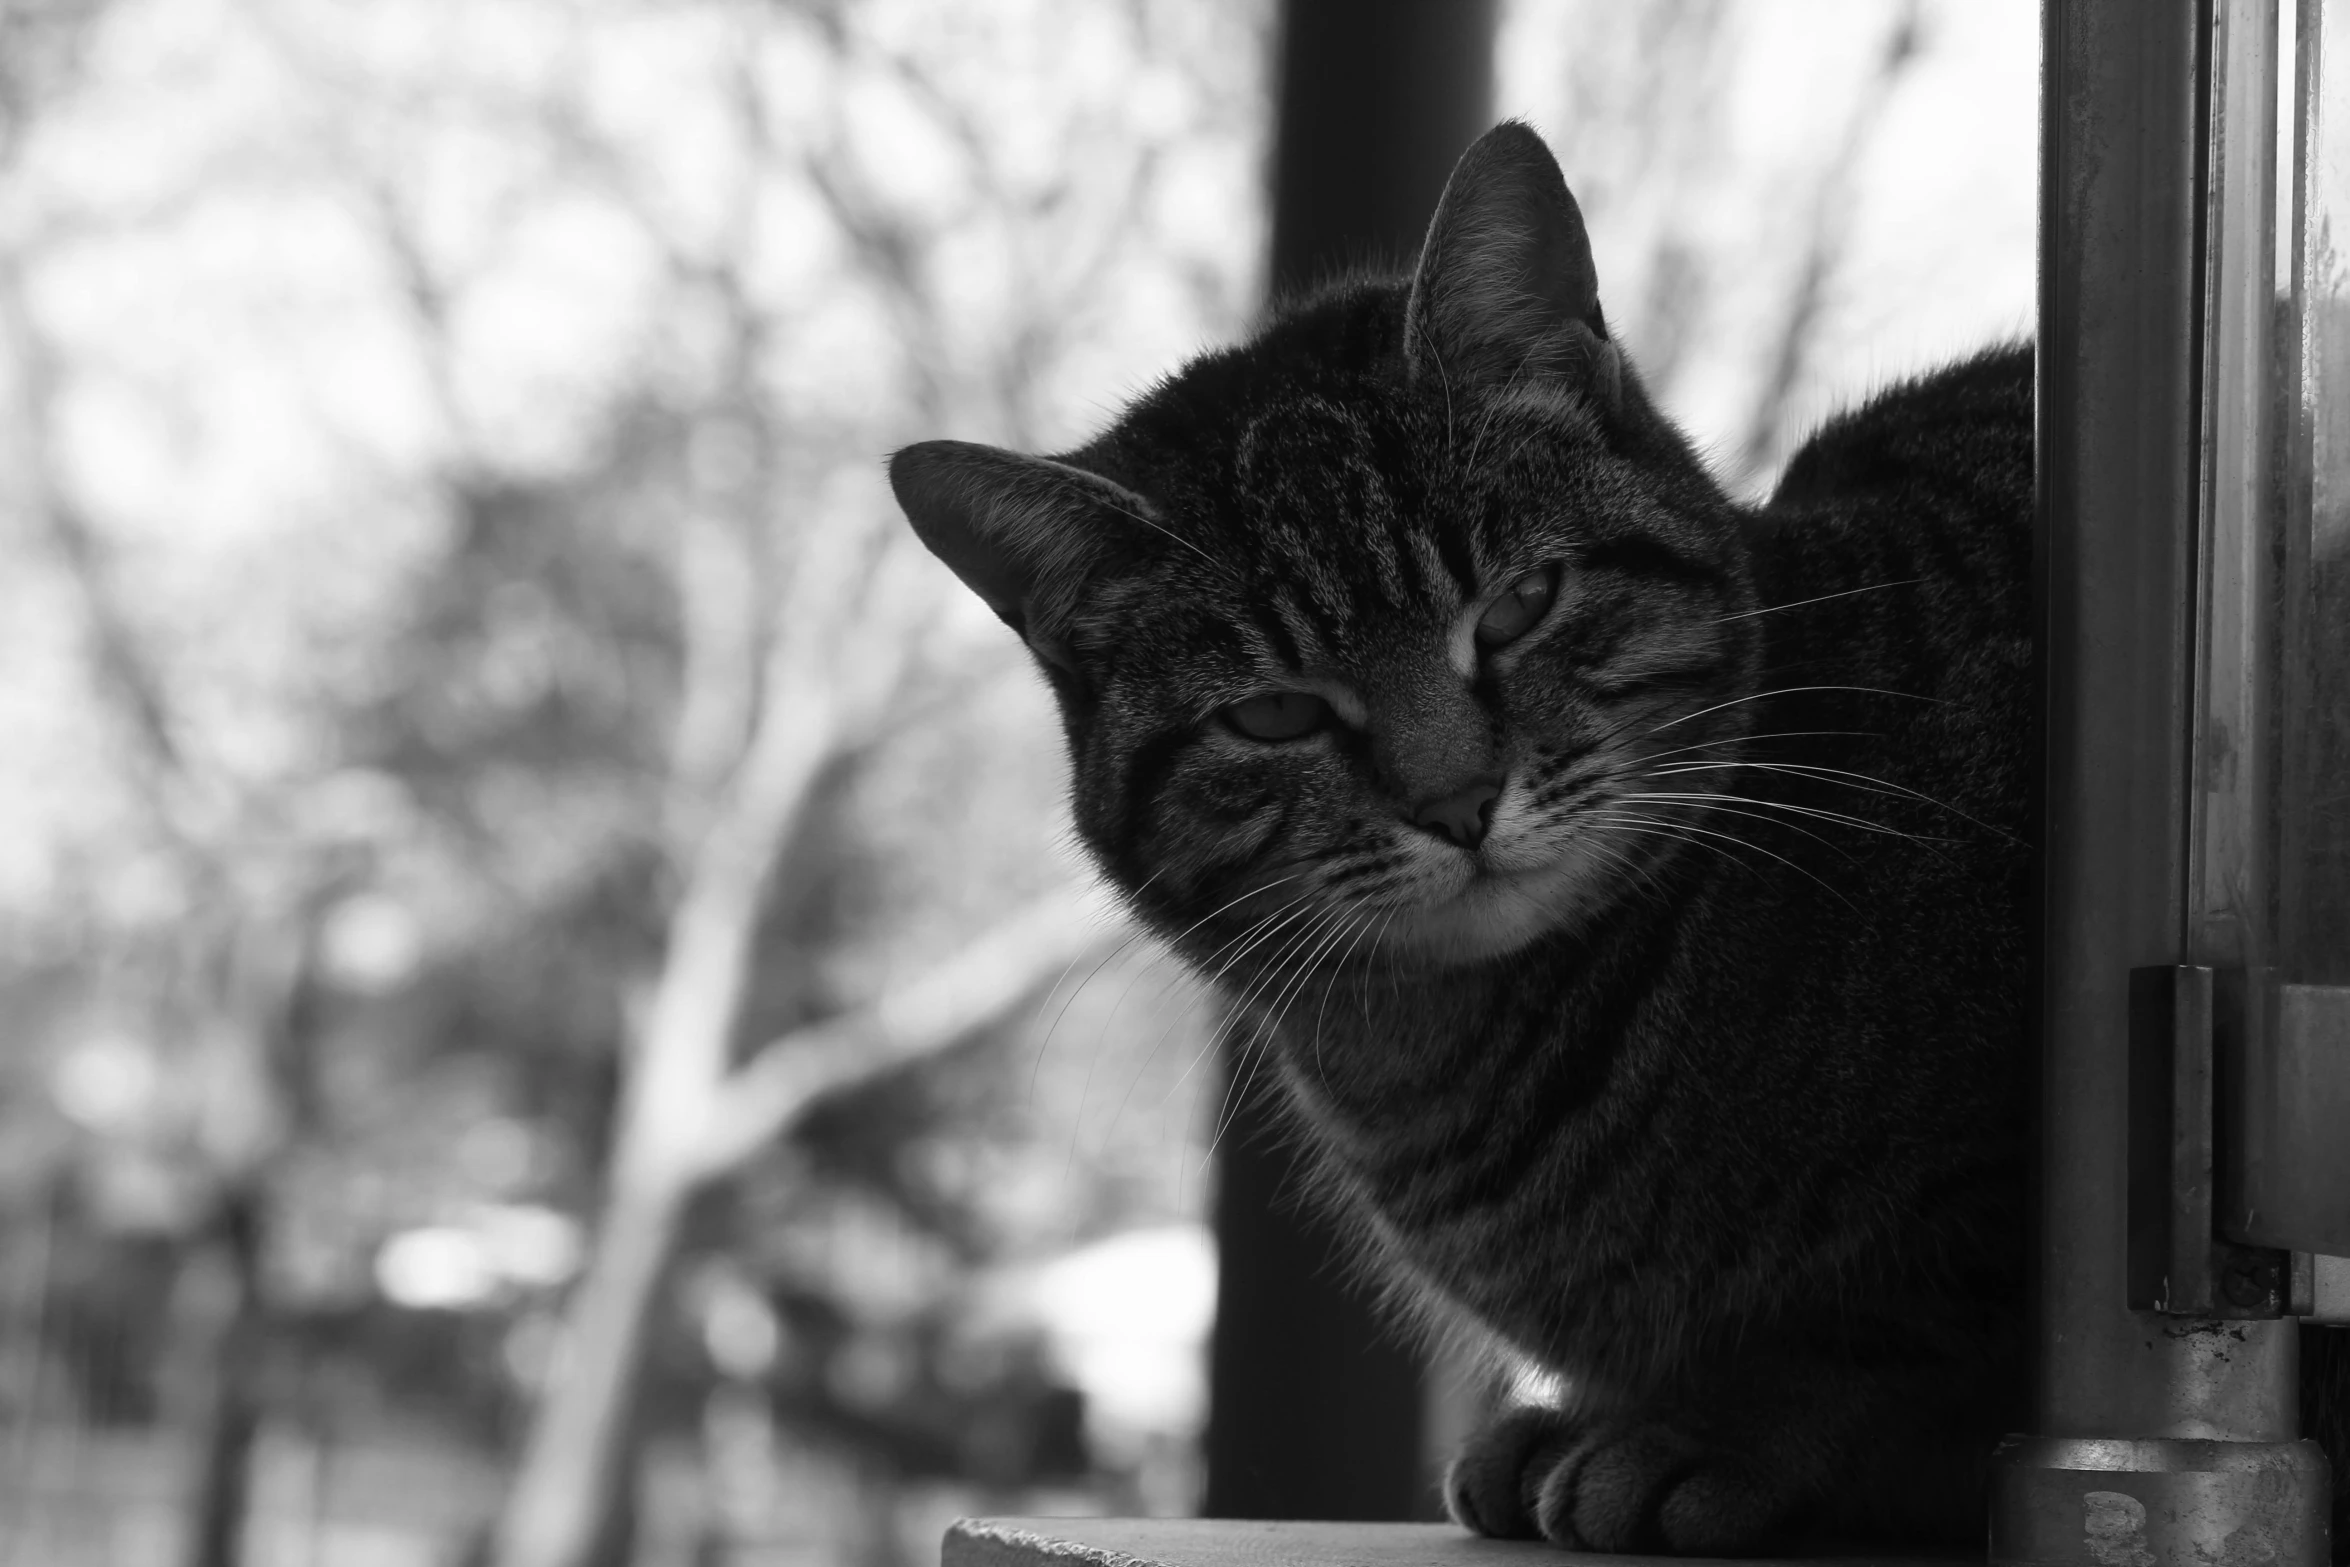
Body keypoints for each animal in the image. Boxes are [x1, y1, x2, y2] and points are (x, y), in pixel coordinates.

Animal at [892, 125, 2331, 1559]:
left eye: (1520, 604)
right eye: (1272, 712)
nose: (1455, 799)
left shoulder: (2040, 1175)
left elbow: (1894, 1334)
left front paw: (1703, 1430)